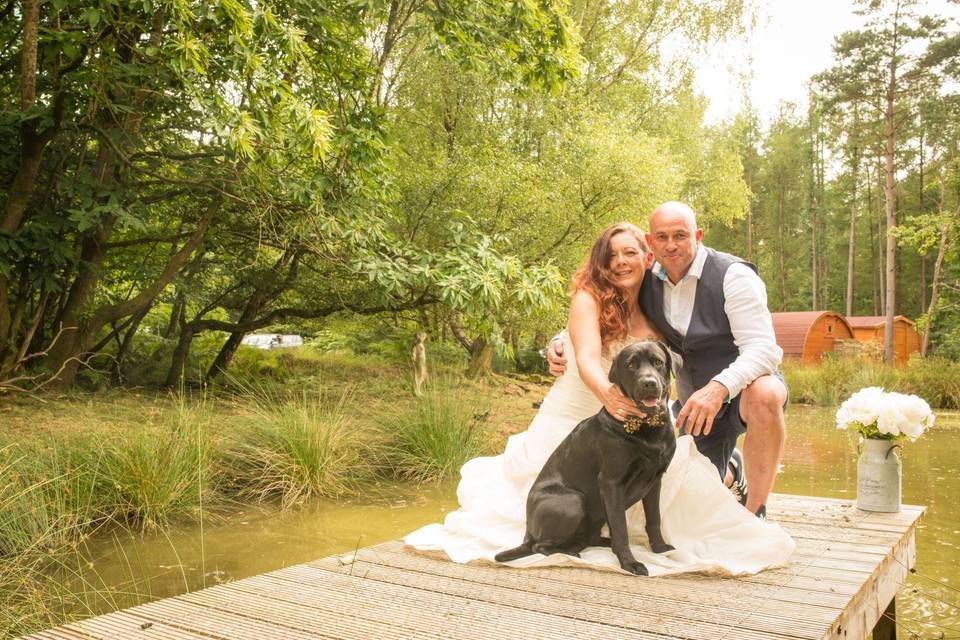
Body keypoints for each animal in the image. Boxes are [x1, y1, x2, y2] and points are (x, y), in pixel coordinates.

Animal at [496, 340, 676, 576]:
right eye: (630, 366)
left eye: (658, 362)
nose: (649, 383)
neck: (647, 429)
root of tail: (527, 531)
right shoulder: (611, 482)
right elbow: (621, 528)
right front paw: (630, 563)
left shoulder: (655, 481)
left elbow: (654, 519)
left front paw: (659, 548)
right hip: (573, 500)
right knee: (540, 546)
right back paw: (568, 554)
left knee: (587, 538)